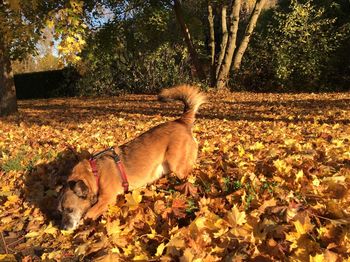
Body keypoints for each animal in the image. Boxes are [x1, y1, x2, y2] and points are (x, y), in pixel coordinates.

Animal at [57, 85, 205, 230]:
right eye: (60, 211)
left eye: (70, 209)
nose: (62, 228)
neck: (94, 172)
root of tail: (181, 121)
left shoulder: (106, 199)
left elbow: (88, 214)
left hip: (178, 166)